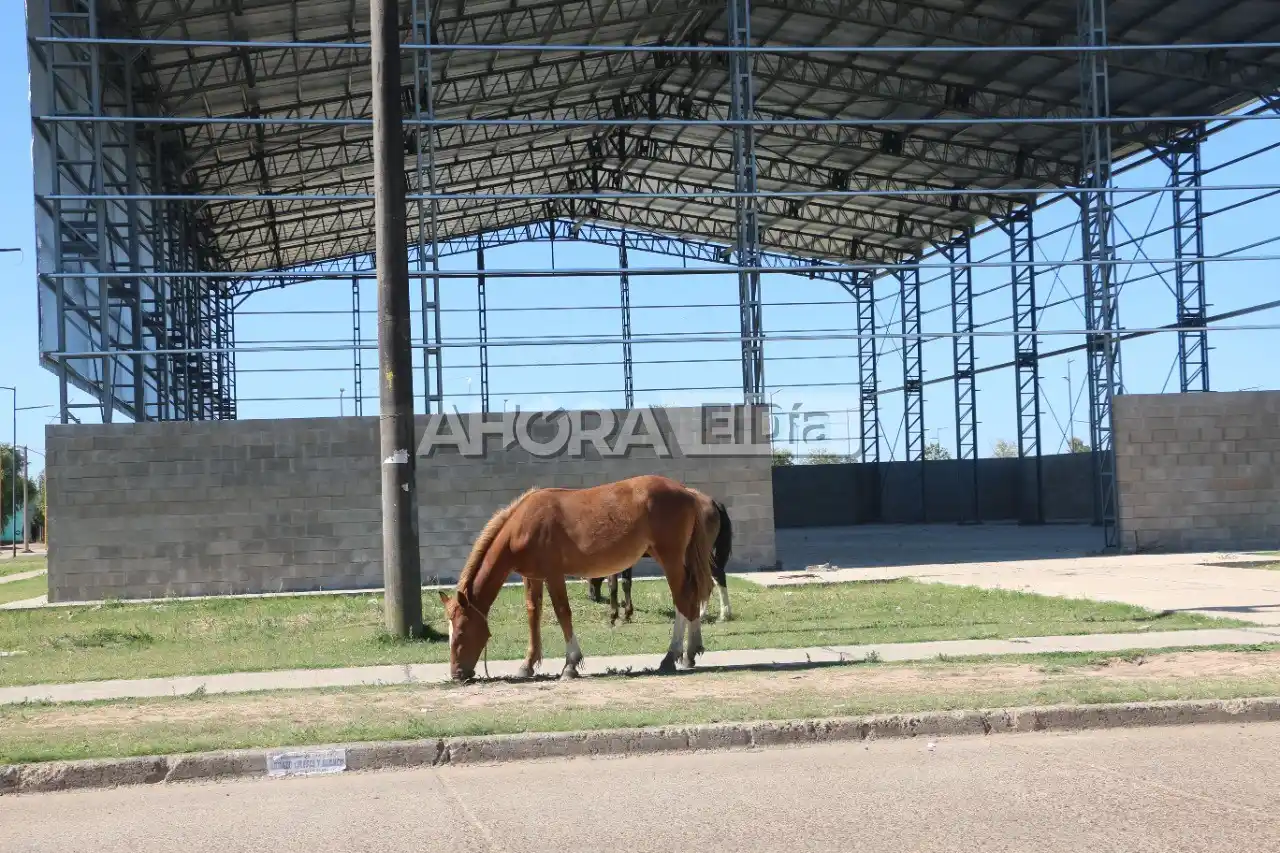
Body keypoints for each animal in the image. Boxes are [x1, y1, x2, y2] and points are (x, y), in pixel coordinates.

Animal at [436, 474, 730, 682]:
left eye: (460, 631)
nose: (457, 674)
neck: (523, 523)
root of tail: (688, 493)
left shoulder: (553, 575)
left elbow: (562, 612)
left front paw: (570, 664)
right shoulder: (532, 578)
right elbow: (533, 614)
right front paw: (527, 665)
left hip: (670, 559)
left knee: (683, 598)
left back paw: (671, 656)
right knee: (692, 596)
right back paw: (690, 653)